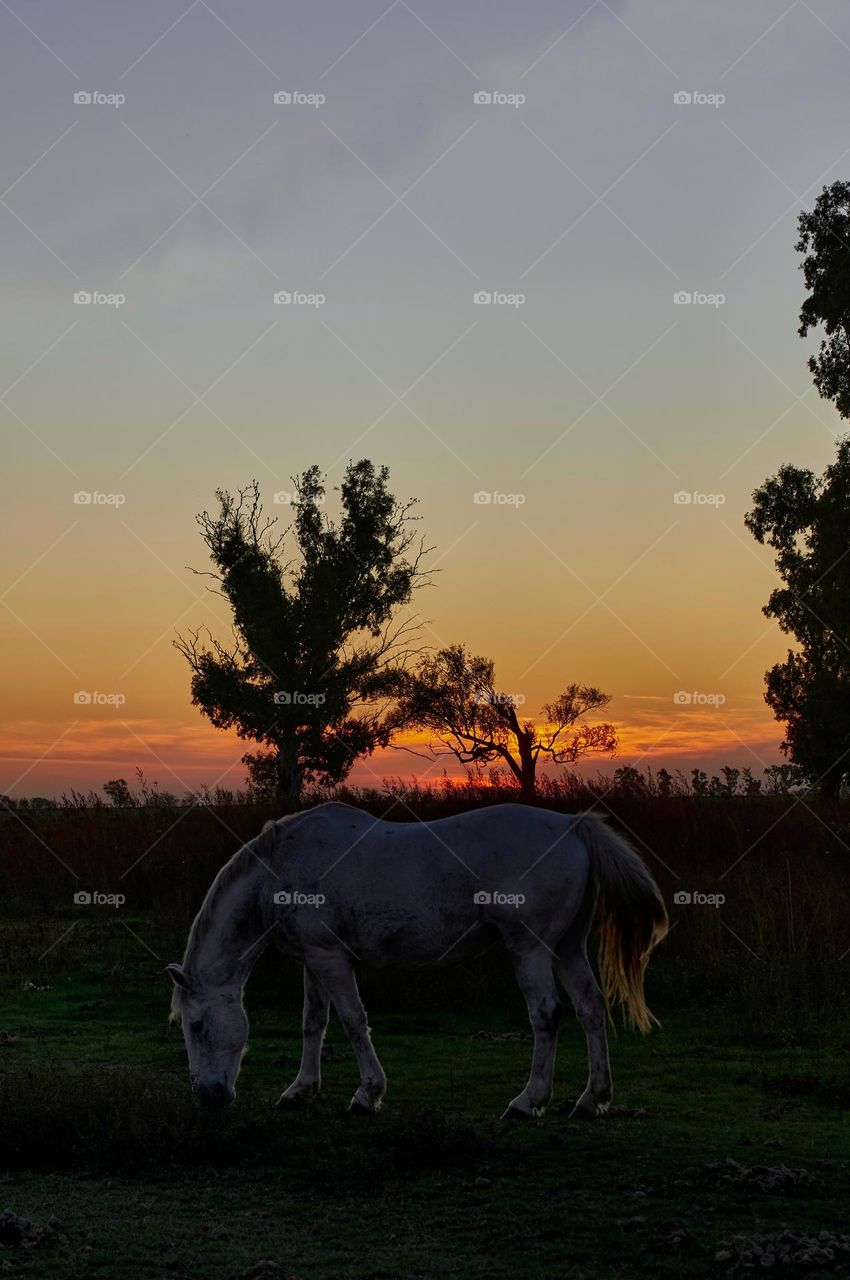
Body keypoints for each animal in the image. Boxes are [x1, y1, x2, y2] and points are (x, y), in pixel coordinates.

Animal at [167, 801, 667, 1119]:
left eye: (196, 1025)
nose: (208, 1096)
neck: (282, 867)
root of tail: (571, 824)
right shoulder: (314, 958)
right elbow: (314, 1022)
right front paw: (300, 1091)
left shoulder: (331, 958)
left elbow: (352, 1020)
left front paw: (368, 1095)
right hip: (567, 947)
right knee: (590, 1008)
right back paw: (592, 1100)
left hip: (530, 949)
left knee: (546, 1015)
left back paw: (528, 1102)